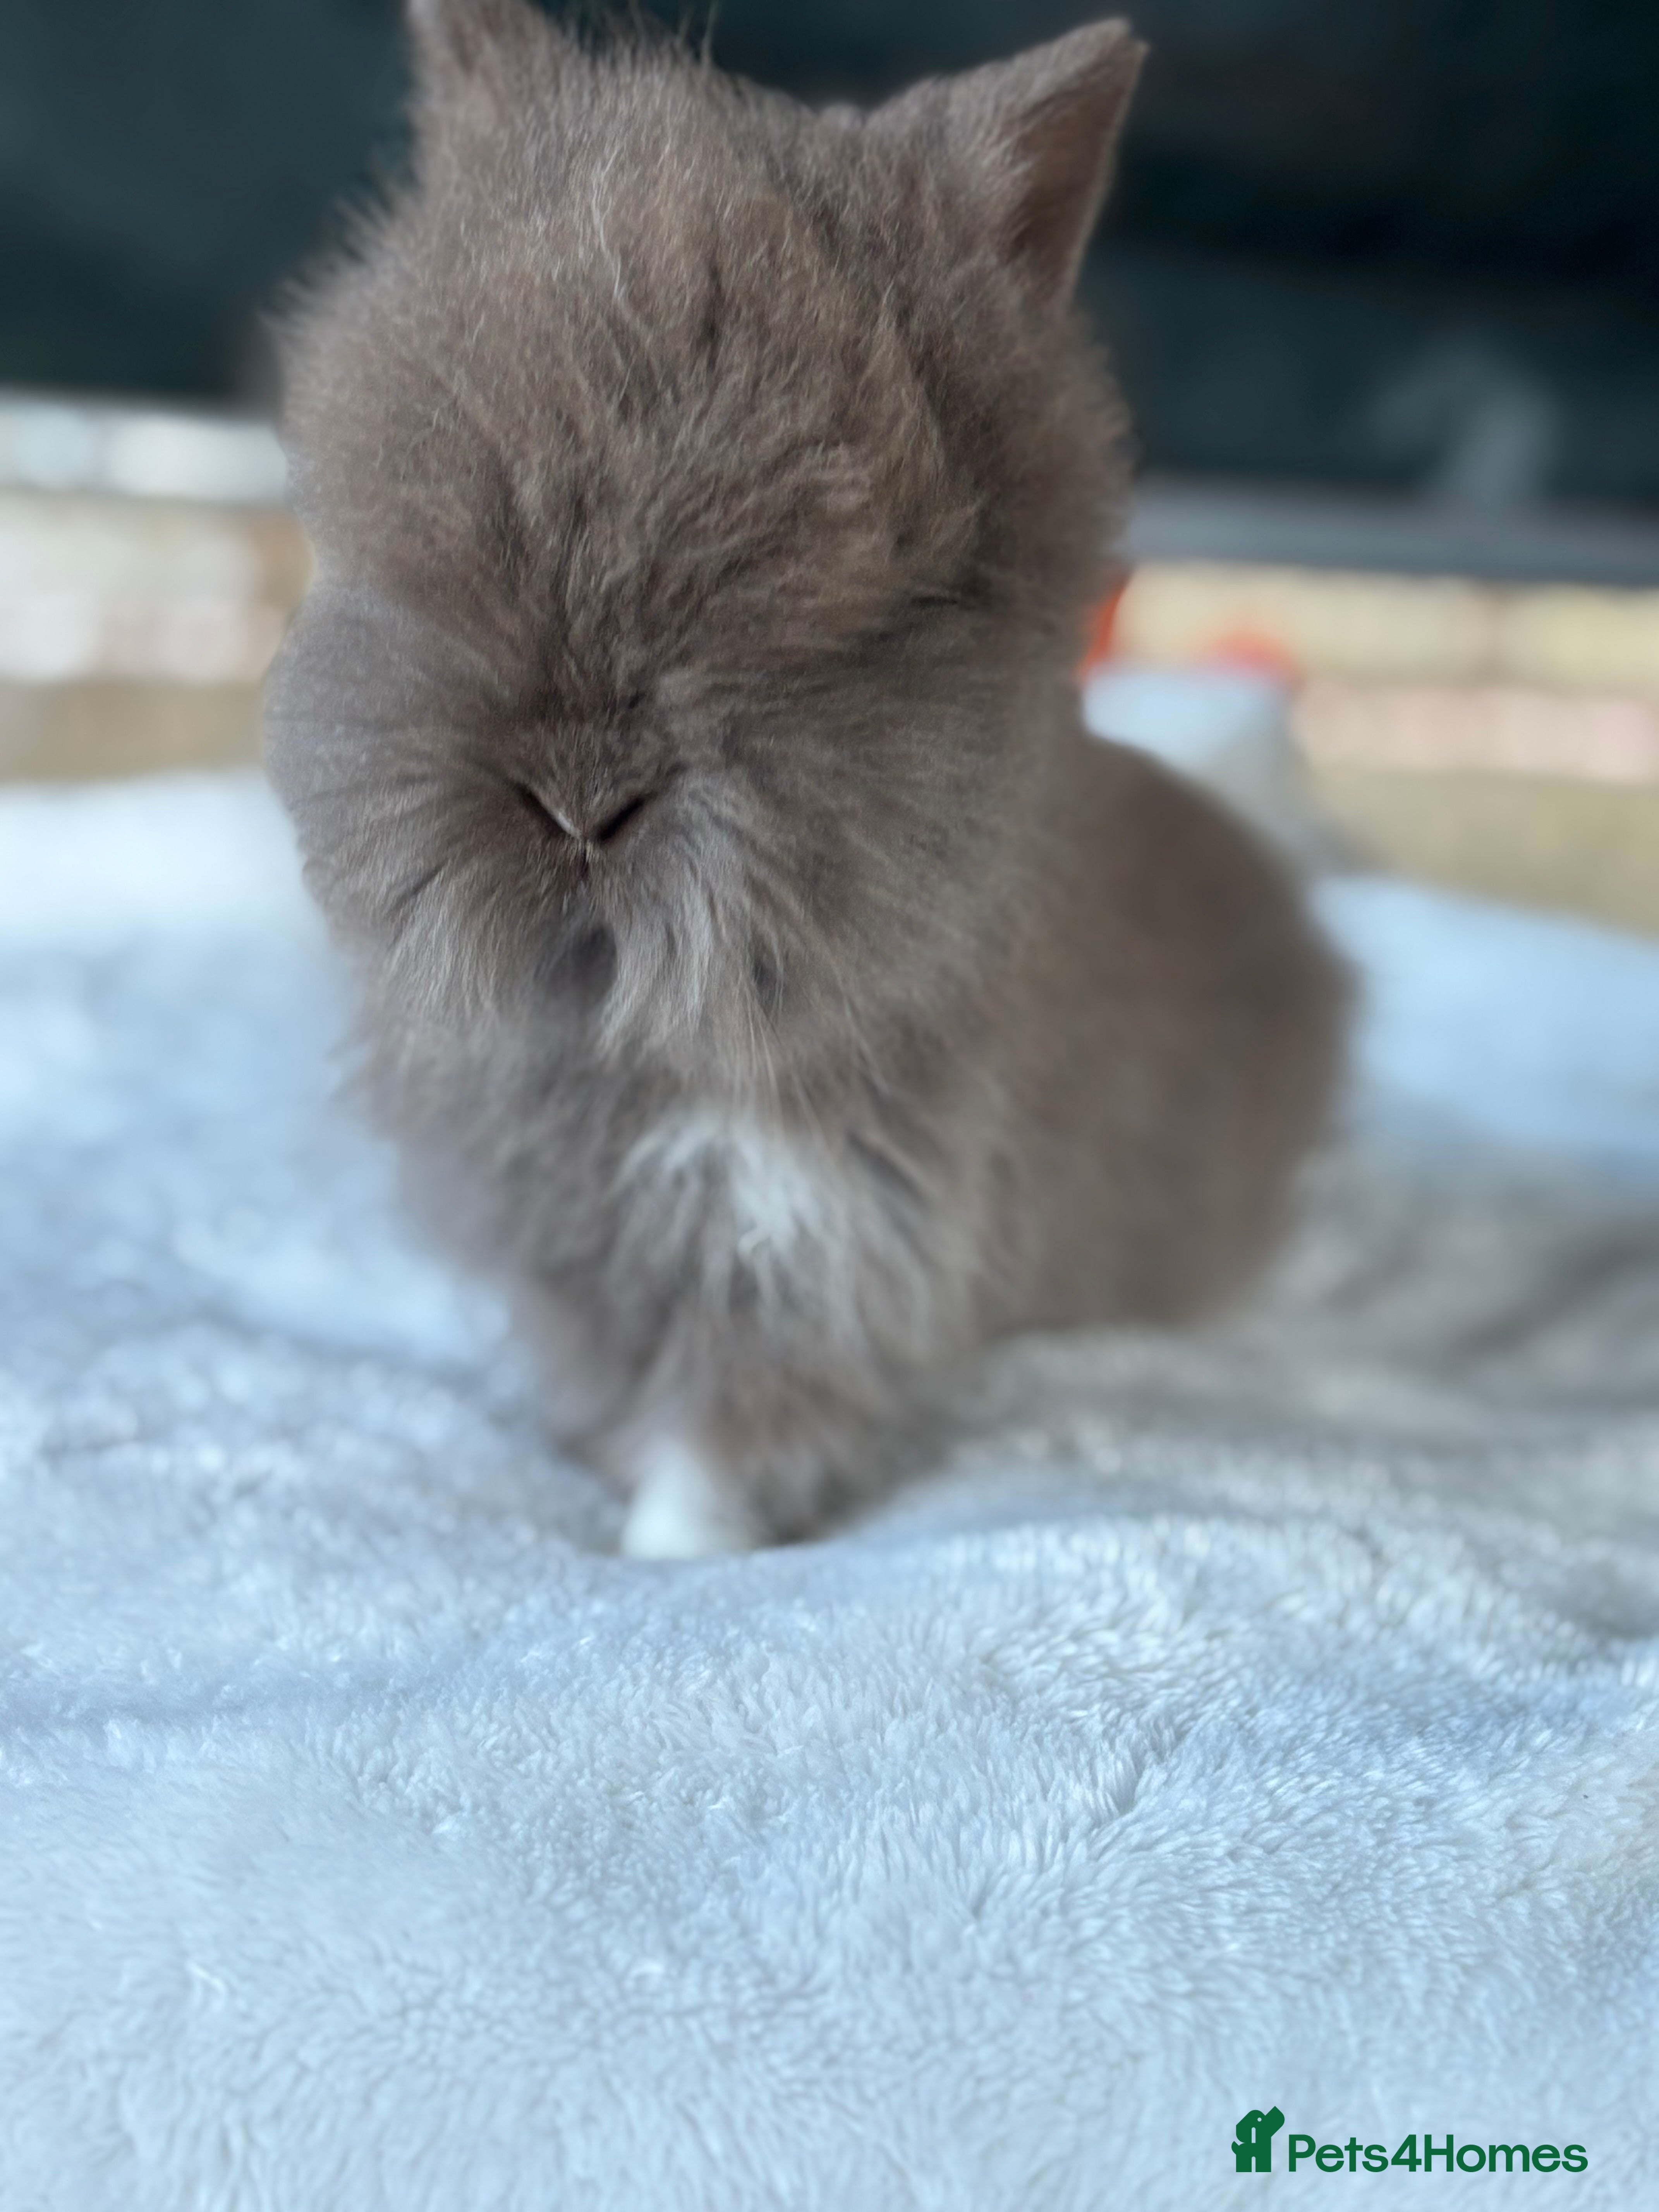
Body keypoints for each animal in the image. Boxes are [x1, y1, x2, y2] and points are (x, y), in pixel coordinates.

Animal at [264, 1, 1348, 1556]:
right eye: (425, 545)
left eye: (863, 609)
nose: (581, 801)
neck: (635, 1040)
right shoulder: (577, 1248)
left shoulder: (821, 1257)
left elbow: (719, 1453)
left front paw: (657, 1559)